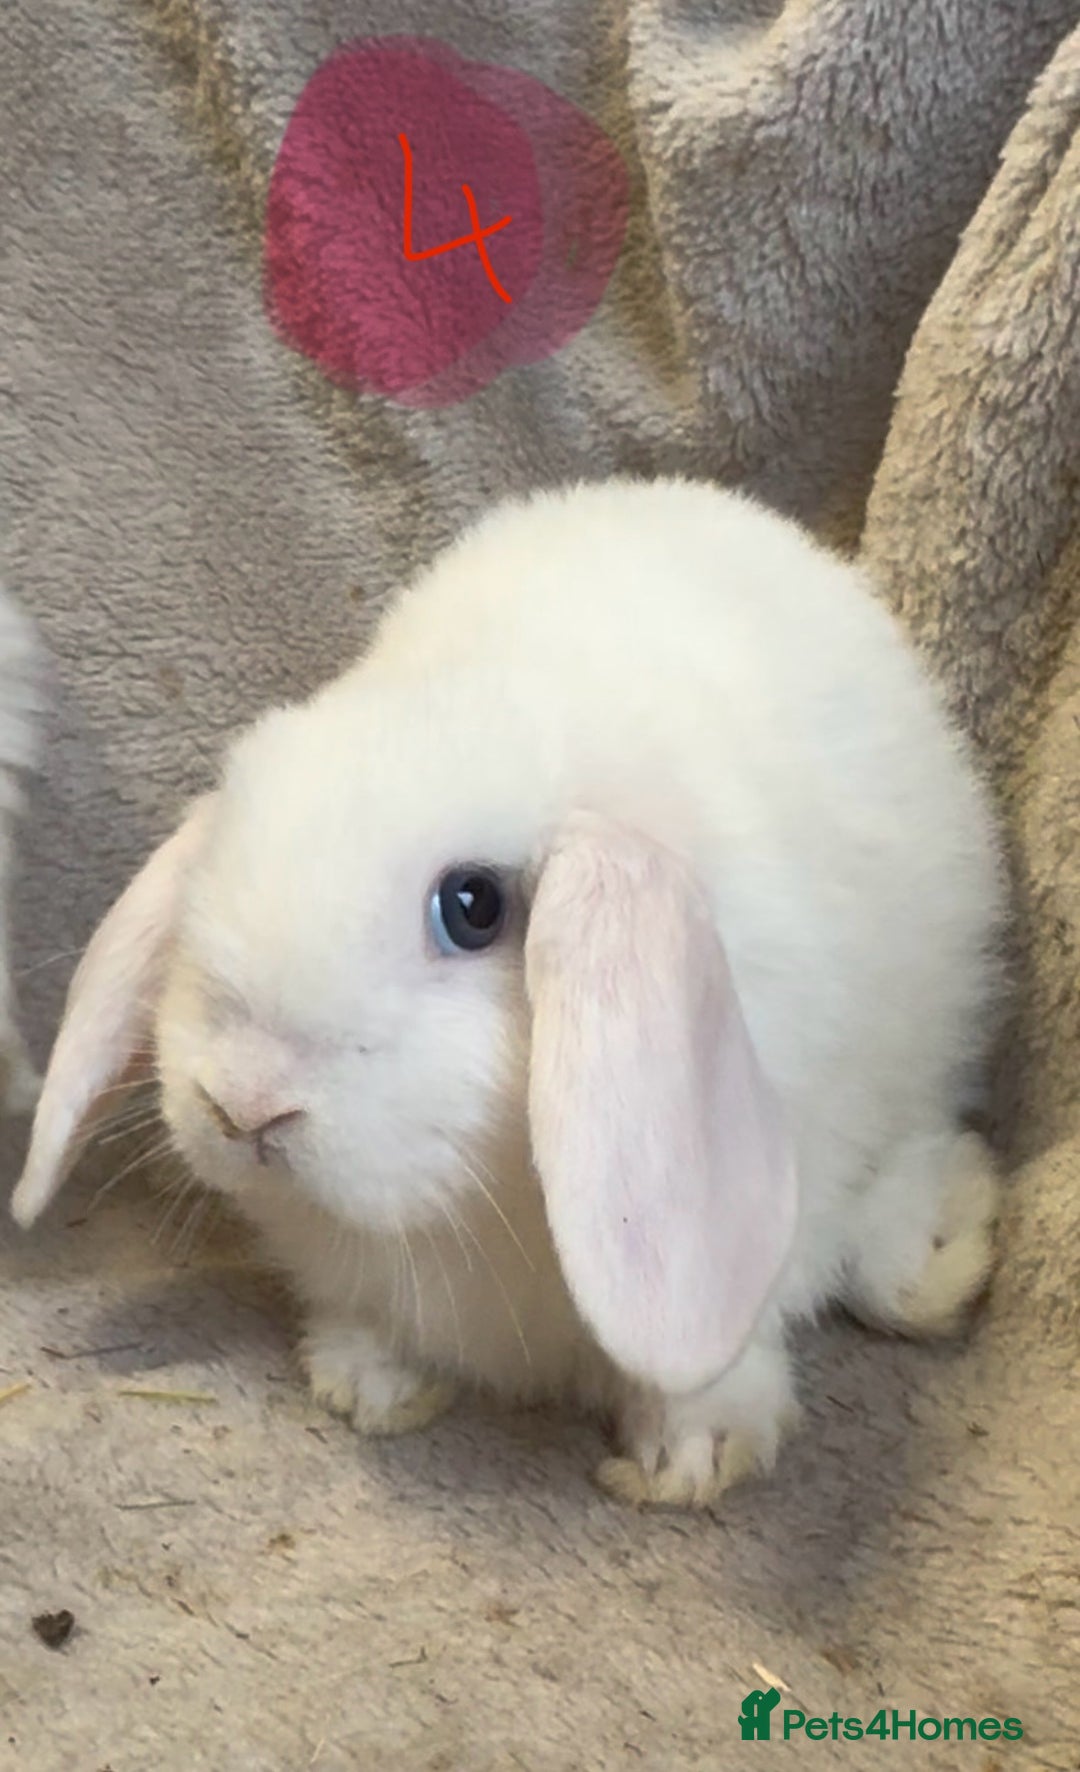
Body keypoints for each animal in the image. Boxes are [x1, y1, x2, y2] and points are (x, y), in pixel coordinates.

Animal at [10, 476, 1006, 1508]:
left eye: (473, 906)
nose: (245, 1105)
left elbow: (722, 1358)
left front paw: (690, 1460)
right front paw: (372, 1384)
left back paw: (938, 1252)